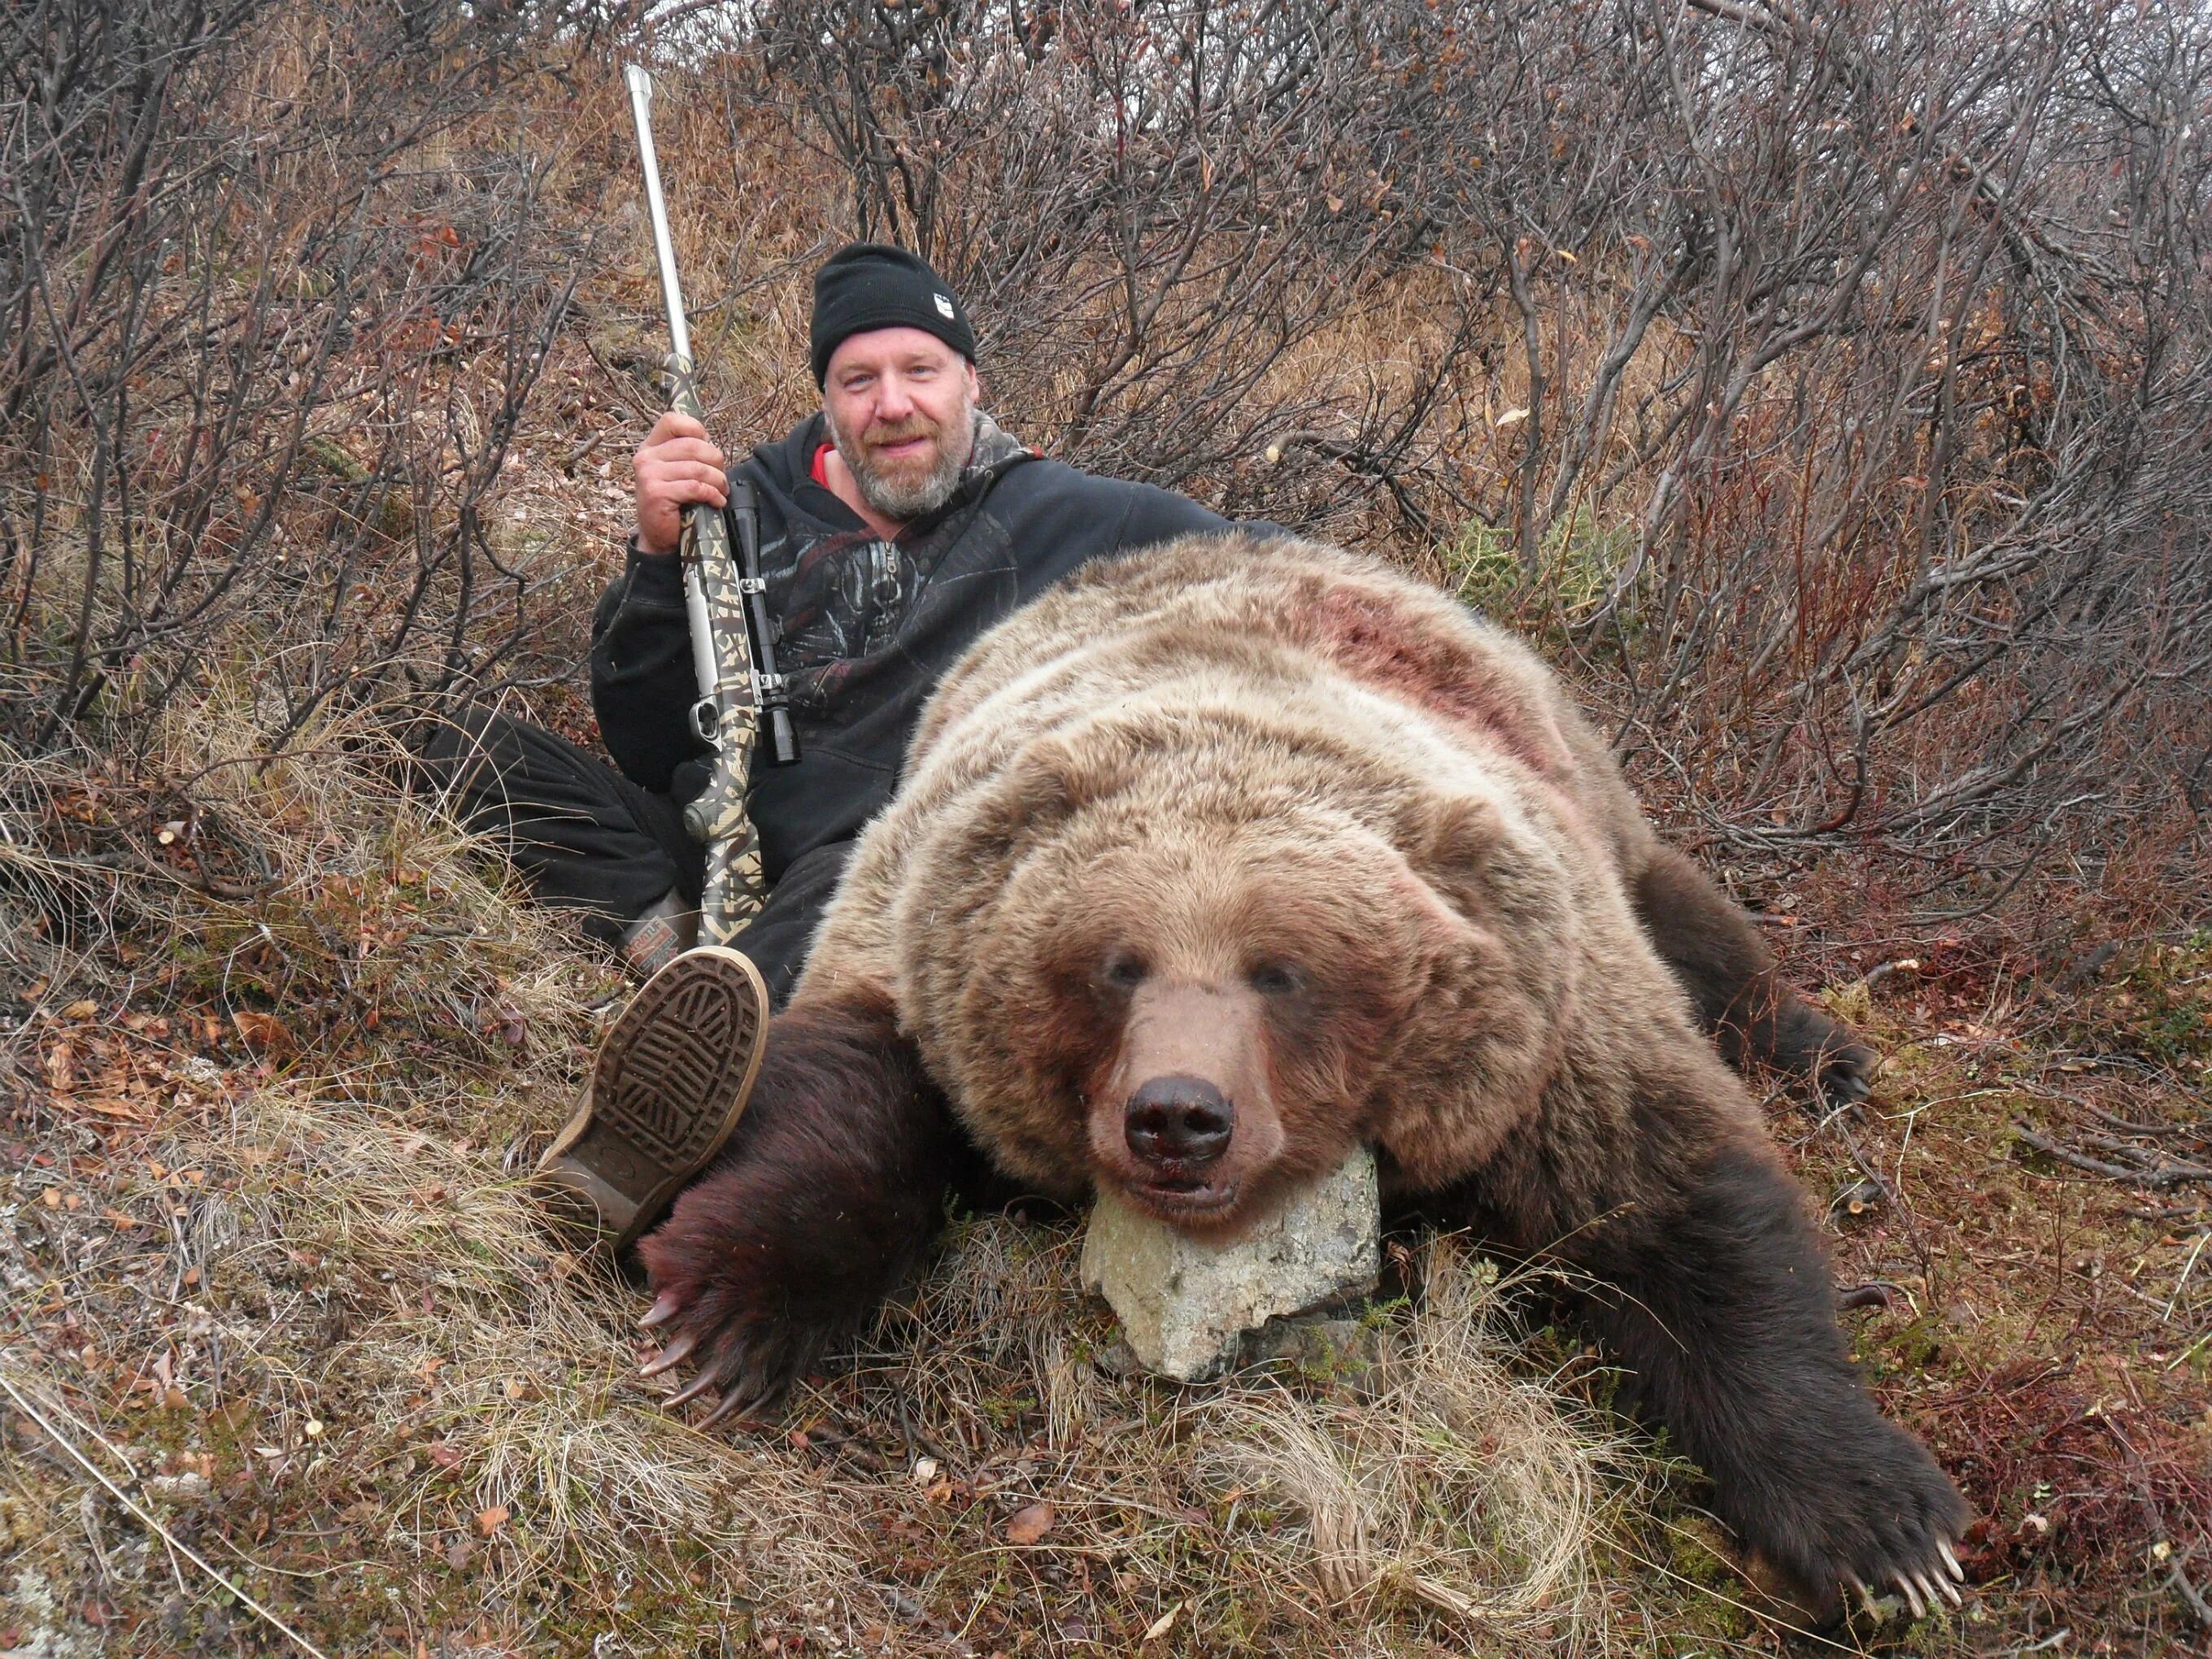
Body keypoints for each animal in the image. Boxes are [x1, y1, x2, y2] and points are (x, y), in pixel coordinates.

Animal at [641, 535, 1973, 1627]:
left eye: (1281, 972)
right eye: (1114, 966)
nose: (1177, 1117)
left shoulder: (1544, 1023)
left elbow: (1674, 1199)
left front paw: (1886, 1530)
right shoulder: (926, 925)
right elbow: (847, 1094)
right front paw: (717, 1314)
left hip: (1584, 786)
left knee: (1693, 919)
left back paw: (1824, 1052)